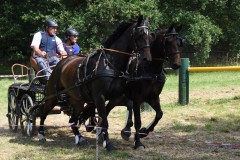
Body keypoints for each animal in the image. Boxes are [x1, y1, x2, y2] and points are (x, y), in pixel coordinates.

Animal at [36, 15, 151, 151]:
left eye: (150, 35)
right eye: (139, 35)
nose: (147, 59)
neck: (110, 64)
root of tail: (61, 63)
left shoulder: (117, 96)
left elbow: (128, 105)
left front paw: (127, 132)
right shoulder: (99, 97)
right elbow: (104, 120)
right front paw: (108, 143)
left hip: (78, 100)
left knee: (73, 119)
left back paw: (79, 137)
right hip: (52, 97)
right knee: (44, 112)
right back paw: (41, 134)